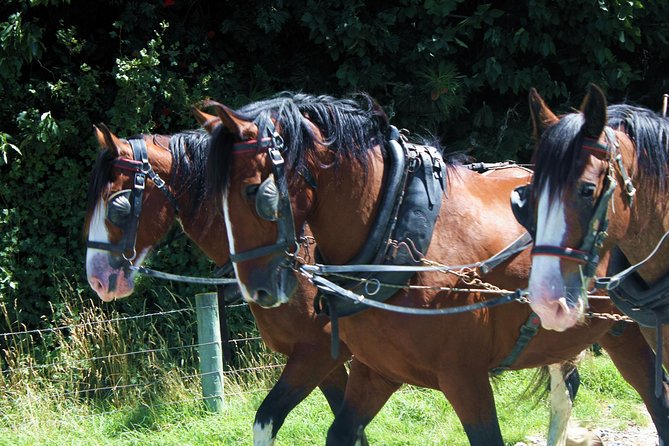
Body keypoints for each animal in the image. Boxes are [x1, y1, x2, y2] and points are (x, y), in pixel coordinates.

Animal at [204, 91, 668, 446]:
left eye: (255, 193)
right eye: (214, 199)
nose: (257, 290)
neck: (396, 230)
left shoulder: (465, 379)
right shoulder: (375, 372)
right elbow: (341, 432)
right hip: (606, 331)